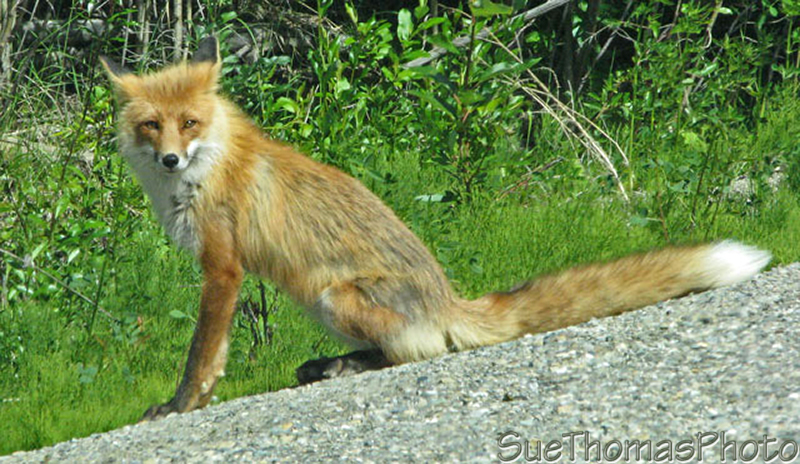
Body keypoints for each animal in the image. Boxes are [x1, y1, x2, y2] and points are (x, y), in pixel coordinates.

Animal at [100, 36, 771, 421]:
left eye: (189, 122)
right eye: (151, 126)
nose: (170, 160)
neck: (206, 169)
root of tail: (450, 299)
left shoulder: (223, 266)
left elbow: (200, 356)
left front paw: (180, 406)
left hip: (332, 295)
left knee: (418, 351)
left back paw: (344, 366)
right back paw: (330, 366)